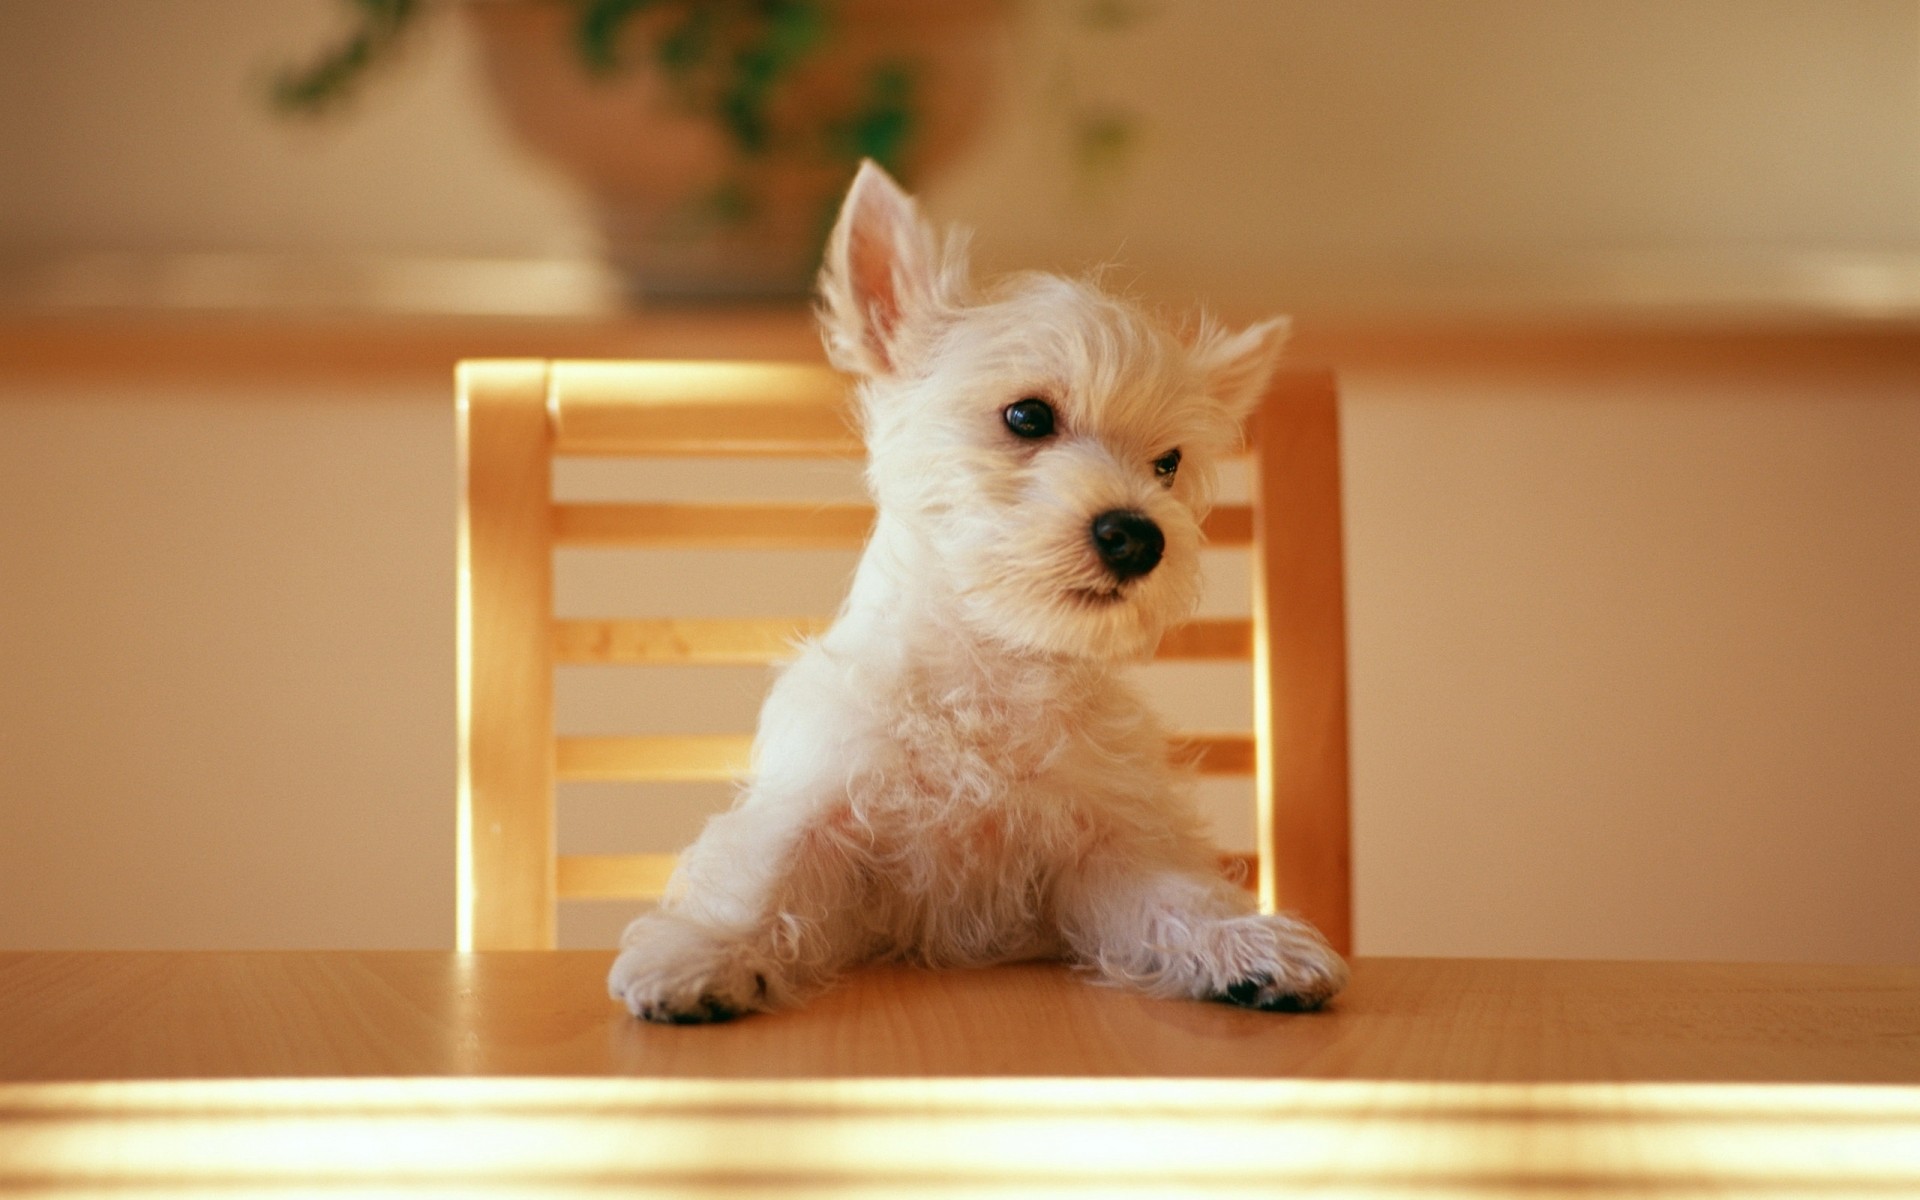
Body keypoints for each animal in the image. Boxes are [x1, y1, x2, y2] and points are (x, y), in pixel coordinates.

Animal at [614, 161, 1351, 1021]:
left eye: (1167, 464)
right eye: (1027, 415)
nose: (1139, 537)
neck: (990, 668)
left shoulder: (1104, 853)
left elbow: (1177, 899)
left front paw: (1248, 945)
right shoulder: (824, 809)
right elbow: (763, 877)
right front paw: (704, 953)